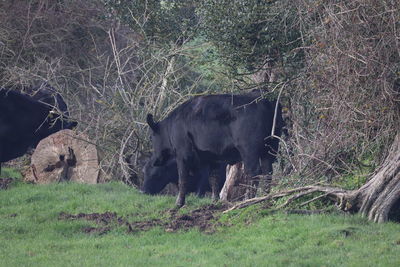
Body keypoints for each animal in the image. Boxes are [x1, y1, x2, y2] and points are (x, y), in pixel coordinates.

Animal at [147, 91, 284, 207]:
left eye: (152, 137)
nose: (154, 161)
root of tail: (263, 98)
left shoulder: (183, 154)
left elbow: (182, 179)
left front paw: (179, 203)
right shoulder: (213, 157)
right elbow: (214, 178)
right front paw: (214, 201)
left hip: (249, 150)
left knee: (253, 171)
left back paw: (249, 199)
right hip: (270, 148)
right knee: (267, 171)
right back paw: (265, 197)